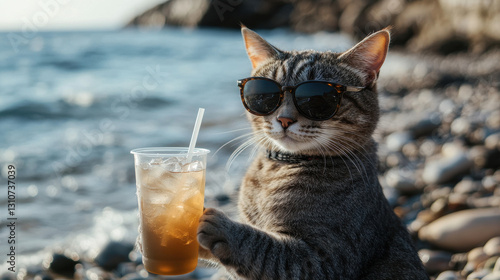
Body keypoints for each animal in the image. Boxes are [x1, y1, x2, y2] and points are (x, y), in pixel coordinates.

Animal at [197, 26, 428, 280]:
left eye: (318, 98)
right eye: (264, 95)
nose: (284, 119)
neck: (278, 168)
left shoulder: (325, 258)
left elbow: (267, 250)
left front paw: (219, 228)